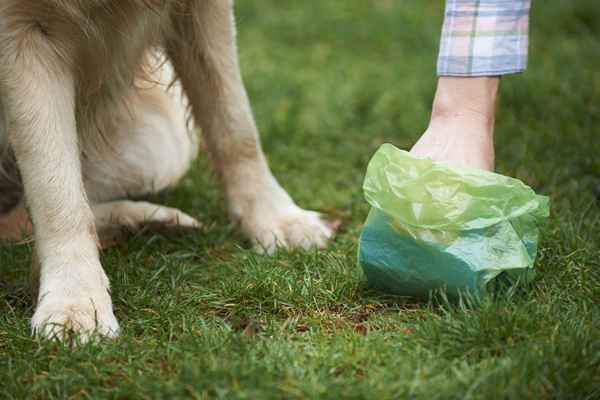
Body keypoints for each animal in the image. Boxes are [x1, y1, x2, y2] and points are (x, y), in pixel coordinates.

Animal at [0, 1, 332, 342]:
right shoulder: (20, 33)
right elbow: (55, 191)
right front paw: (75, 301)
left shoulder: (202, 12)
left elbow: (235, 124)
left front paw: (277, 219)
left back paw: (150, 221)